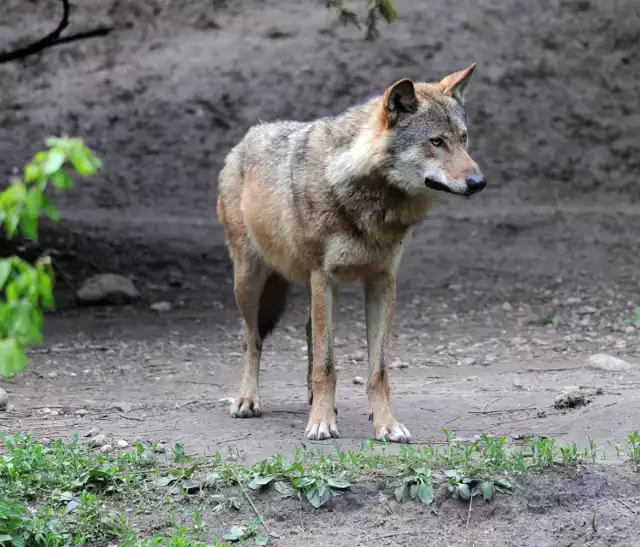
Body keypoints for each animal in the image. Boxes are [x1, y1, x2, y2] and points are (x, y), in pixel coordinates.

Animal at [215, 62, 484, 444]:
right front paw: (321, 424)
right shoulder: (324, 278)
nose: (479, 183)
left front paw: (385, 424)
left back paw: (312, 399)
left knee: (307, 331)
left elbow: (377, 371)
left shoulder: (382, 283)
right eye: (436, 142)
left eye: (463, 139)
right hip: (250, 284)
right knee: (251, 339)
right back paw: (248, 400)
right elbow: (327, 365)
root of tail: (246, 138)